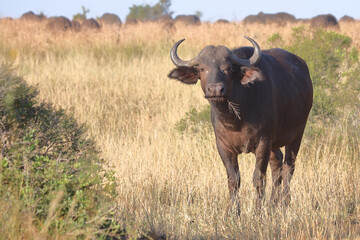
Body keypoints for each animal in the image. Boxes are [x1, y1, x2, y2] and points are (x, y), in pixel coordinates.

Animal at [168, 36, 312, 211]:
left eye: (228, 68)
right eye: (202, 68)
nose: (215, 89)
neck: (236, 120)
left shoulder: (263, 142)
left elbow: (258, 178)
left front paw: (258, 211)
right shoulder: (223, 146)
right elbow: (233, 179)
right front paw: (233, 211)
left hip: (297, 134)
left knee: (288, 168)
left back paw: (284, 203)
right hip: (274, 144)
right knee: (277, 165)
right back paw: (273, 204)